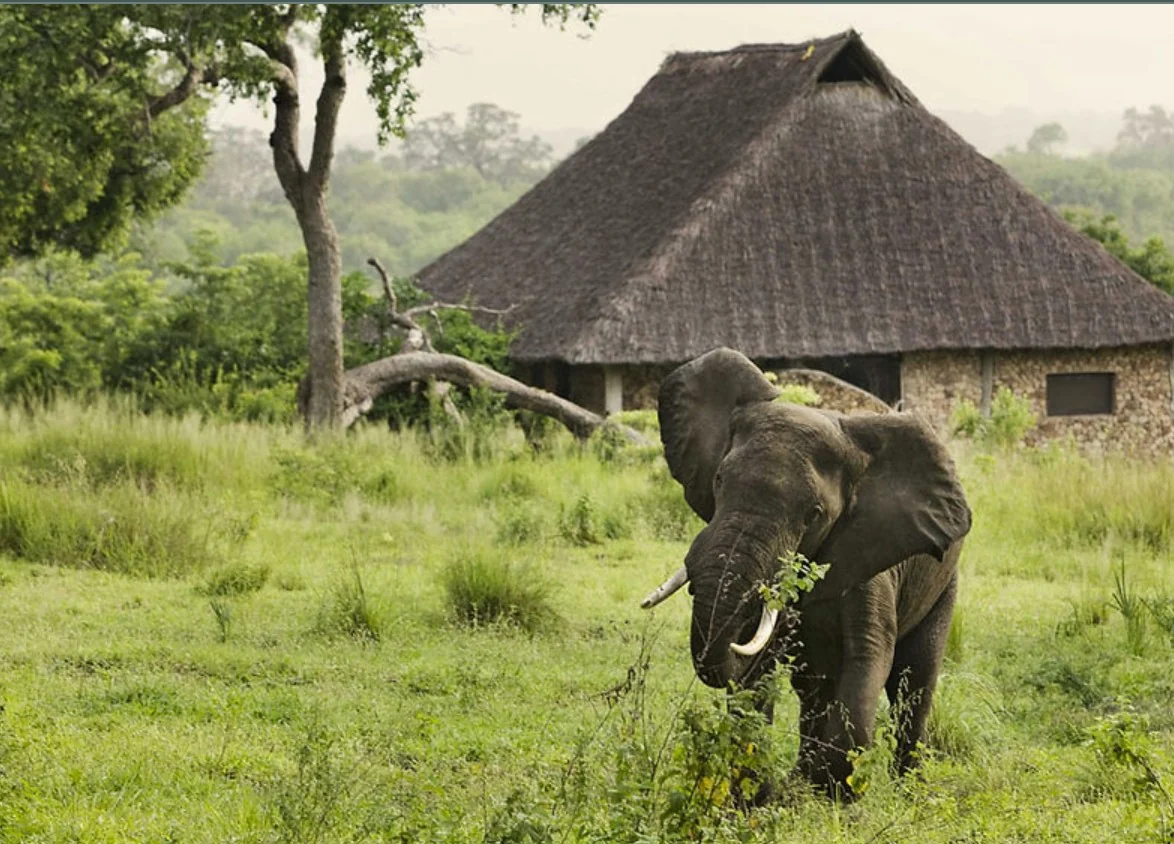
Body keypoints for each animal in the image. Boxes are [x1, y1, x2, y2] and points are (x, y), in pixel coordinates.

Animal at [639, 348, 972, 800]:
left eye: (814, 514)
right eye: (720, 480)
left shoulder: (872, 555)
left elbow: (869, 655)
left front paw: (831, 794)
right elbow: (756, 667)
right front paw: (761, 798)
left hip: (944, 584)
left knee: (915, 680)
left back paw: (905, 789)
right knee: (813, 686)